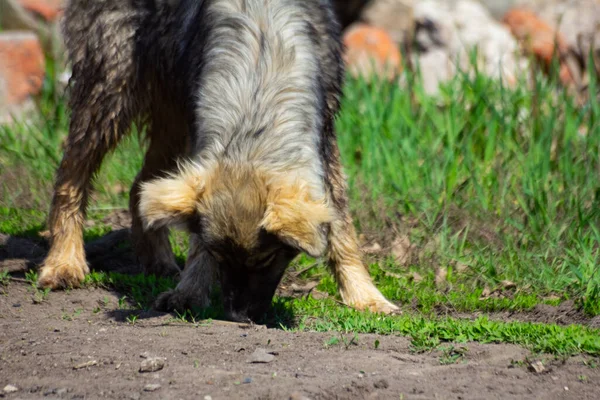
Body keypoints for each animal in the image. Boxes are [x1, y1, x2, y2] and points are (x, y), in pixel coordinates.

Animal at [39, 0, 400, 322]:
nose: (239, 317)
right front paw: (190, 291)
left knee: (140, 186)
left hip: (170, 116)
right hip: (111, 88)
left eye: (267, 258)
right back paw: (63, 262)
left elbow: (342, 228)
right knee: (71, 176)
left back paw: (156, 260)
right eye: (218, 254)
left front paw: (365, 295)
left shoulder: (326, 140)